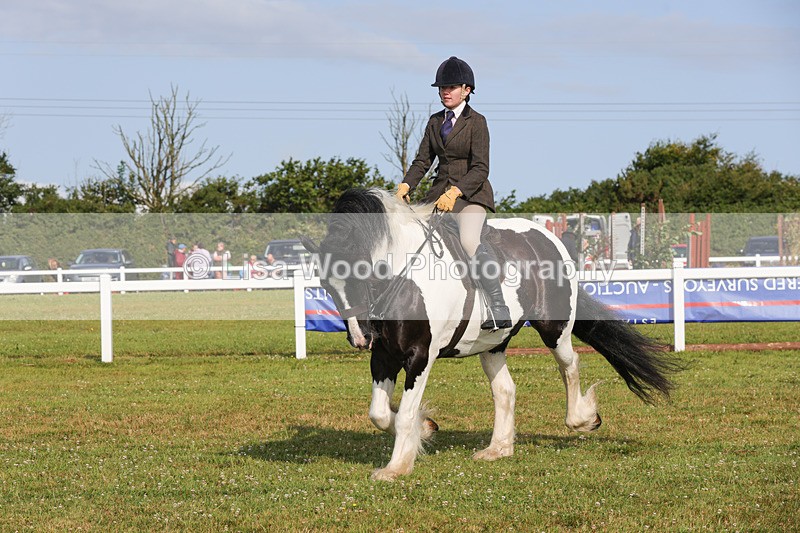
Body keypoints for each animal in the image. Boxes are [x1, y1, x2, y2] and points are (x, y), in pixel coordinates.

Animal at [302, 188, 683, 481]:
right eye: (326, 284)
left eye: (361, 274)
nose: (360, 338)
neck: (402, 277)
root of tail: (550, 238)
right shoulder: (383, 356)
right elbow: (379, 413)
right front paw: (426, 429)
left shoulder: (420, 356)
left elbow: (406, 411)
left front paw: (396, 467)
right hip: (493, 343)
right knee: (505, 389)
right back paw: (498, 448)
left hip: (553, 328)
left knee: (569, 363)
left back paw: (583, 419)